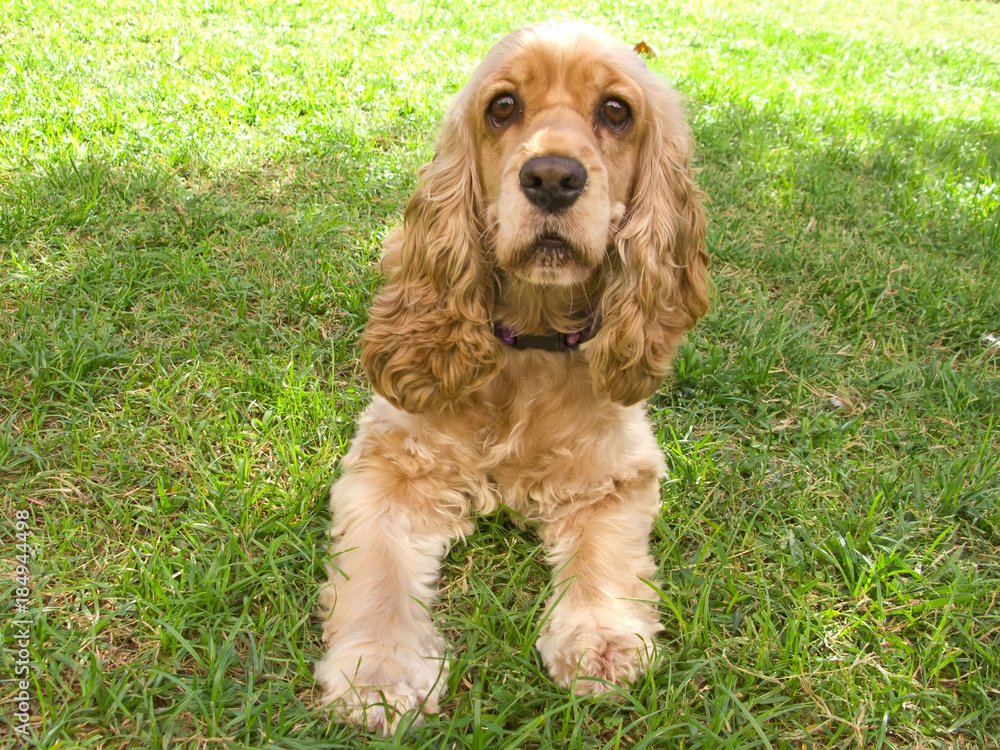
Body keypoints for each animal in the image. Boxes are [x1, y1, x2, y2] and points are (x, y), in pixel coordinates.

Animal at [316, 22, 708, 736]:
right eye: (503, 107)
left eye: (617, 111)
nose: (552, 177)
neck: (529, 341)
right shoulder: (389, 463)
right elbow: (378, 568)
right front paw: (380, 671)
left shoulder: (616, 471)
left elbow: (605, 557)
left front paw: (600, 640)